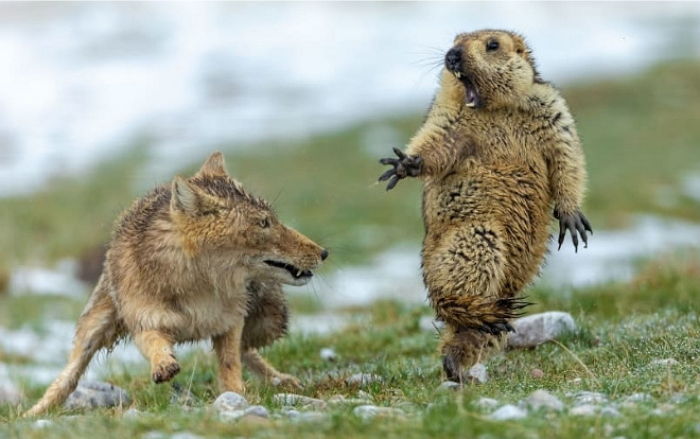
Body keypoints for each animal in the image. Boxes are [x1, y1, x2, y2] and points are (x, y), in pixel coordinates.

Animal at [23, 153, 326, 418]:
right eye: (263, 223)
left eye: (273, 220)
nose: (324, 252)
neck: (198, 288)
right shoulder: (145, 322)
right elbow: (155, 344)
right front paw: (164, 365)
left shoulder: (229, 322)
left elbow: (230, 363)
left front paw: (236, 396)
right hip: (93, 329)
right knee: (67, 377)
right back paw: (32, 413)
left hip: (269, 322)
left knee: (247, 351)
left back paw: (280, 380)